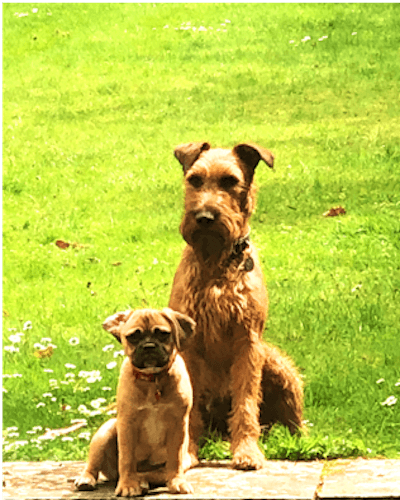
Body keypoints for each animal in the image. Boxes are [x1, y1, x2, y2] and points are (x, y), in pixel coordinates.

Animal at [74, 308, 195, 496]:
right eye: (133, 337)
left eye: (163, 334)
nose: (149, 346)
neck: (153, 379)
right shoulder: (127, 424)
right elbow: (127, 459)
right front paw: (128, 485)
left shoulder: (178, 424)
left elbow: (174, 460)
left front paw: (177, 481)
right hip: (104, 433)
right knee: (93, 465)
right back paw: (87, 479)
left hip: (185, 459)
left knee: (155, 473)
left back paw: (144, 481)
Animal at [169, 143, 304, 470]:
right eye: (194, 180)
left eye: (230, 181)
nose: (204, 216)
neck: (216, 261)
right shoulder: (188, 347)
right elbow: (190, 408)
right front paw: (187, 452)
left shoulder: (248, 343)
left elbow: (245, 402)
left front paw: (246, 451)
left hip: (277, 364)